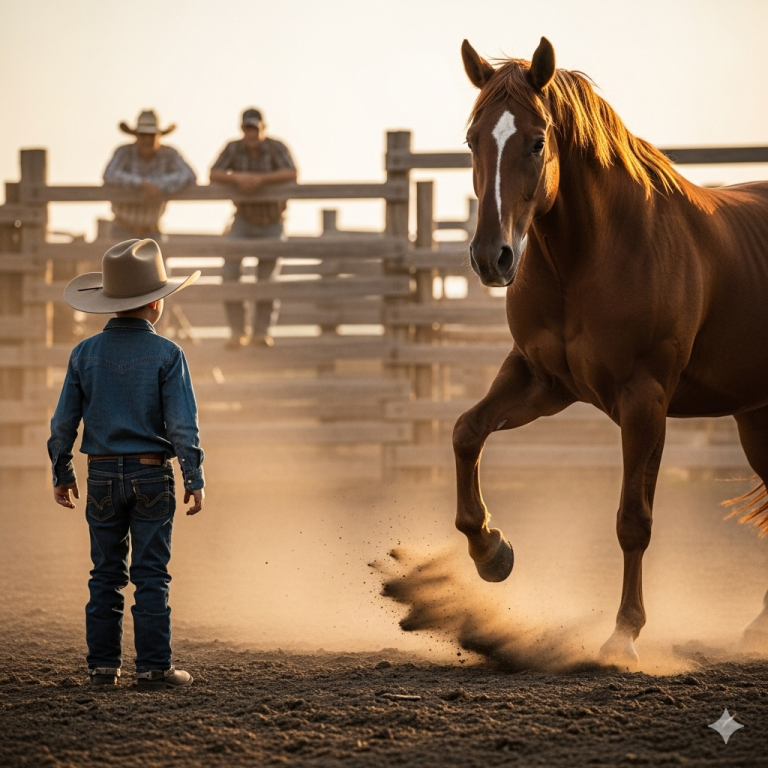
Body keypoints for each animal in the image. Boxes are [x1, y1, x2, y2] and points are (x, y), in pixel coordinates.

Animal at [454, 36, 768, 665]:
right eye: (473, 140)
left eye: (537, 140)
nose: (492, 257)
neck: (592, 252)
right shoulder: (541, 381)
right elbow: (467, 431)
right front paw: (490, 549)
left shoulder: (644, 401)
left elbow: (632, 520)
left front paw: (624, 634)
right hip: (756, 419)